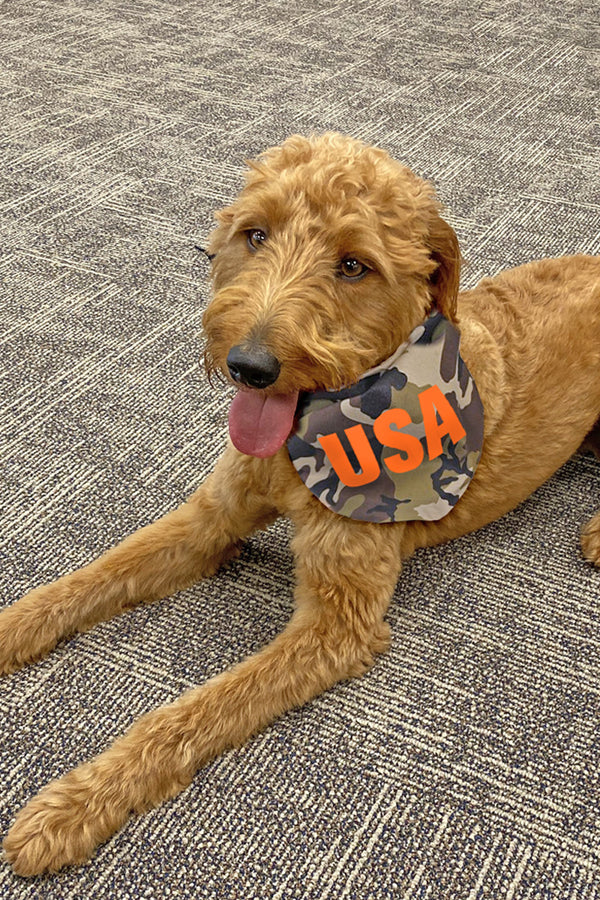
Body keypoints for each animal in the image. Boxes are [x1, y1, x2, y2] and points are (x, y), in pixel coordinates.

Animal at [3, 130, 600, 876]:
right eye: (255, 234)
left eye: (353, 265)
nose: (249, 366)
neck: (303, 438)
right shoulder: (212, 518)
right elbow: (88, 578)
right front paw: (13, 628)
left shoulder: (337, 622)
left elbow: (198, 709)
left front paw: (75, 803)